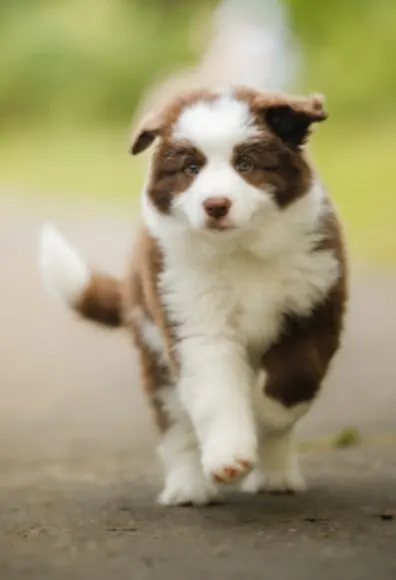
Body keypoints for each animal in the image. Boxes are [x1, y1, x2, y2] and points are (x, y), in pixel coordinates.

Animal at [38, 85, 346, 502]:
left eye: (245, 164)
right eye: (191, 168)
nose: (215, 205)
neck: (240, 250)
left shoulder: (317, 304)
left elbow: (295, 377)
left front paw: (262, 418)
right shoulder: (190, 318)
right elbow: (215, 390)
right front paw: (229, 459)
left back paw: (276, 477)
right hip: (155, 354)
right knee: (175, 426)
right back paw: (187, 489)